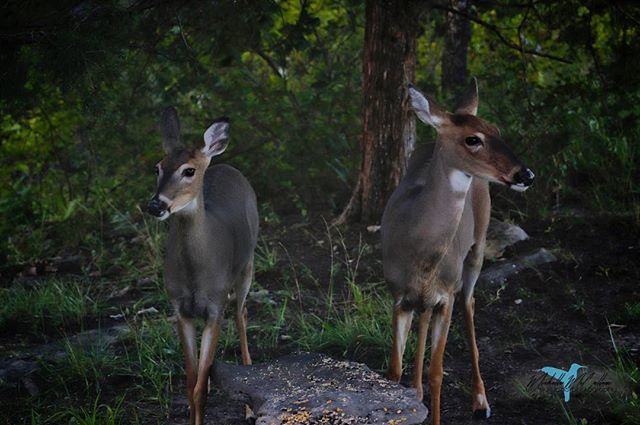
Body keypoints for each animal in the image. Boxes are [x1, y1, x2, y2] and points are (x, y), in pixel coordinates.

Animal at [146, 107, 258, 425]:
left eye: (189, 170)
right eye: (157, 168)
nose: (156, 205)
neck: (197, 273)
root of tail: (226, 165)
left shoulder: (214, 308)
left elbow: (199, 388)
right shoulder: (180, 309)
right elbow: (191, 383)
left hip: (248, 265)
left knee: (242, 313)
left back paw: (248, 402)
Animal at [381, 78, 534, 425]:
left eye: (497, 129)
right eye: (473, 139)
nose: (525, 174)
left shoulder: (446, 295)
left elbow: (437, 372)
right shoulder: (398, 295)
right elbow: (394, 370)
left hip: (477, 244)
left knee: (470, 302)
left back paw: (480, 400)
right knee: (425, 318)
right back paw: (417, 393)